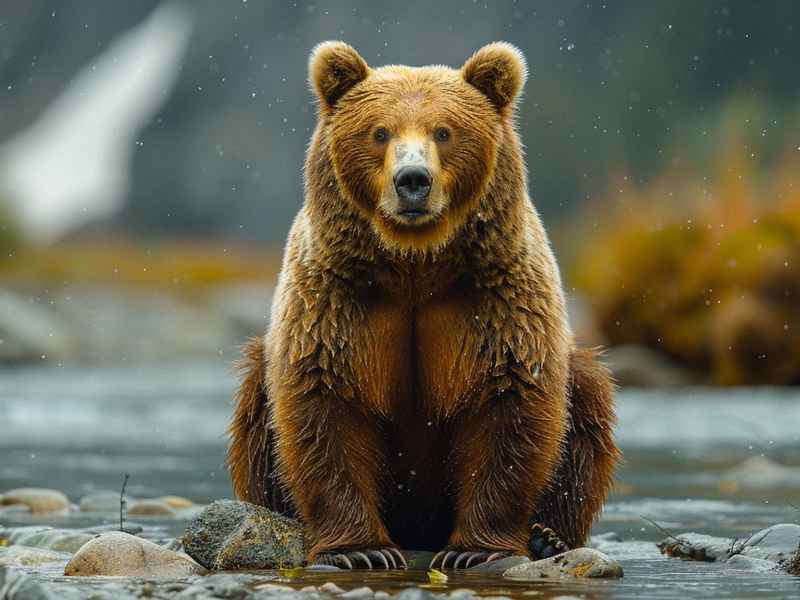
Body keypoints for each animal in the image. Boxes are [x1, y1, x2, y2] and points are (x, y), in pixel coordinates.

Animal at [228, 41, 620, 570]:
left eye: (444, 131)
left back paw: (549, 538)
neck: (415, 263)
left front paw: (475, 550)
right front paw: (362, 550)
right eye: (379, 132)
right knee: (255, 410)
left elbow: (510, 410)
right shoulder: (336, 303)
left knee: (587, 409)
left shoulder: (497, 302)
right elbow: (324, 409)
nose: (412, 179)